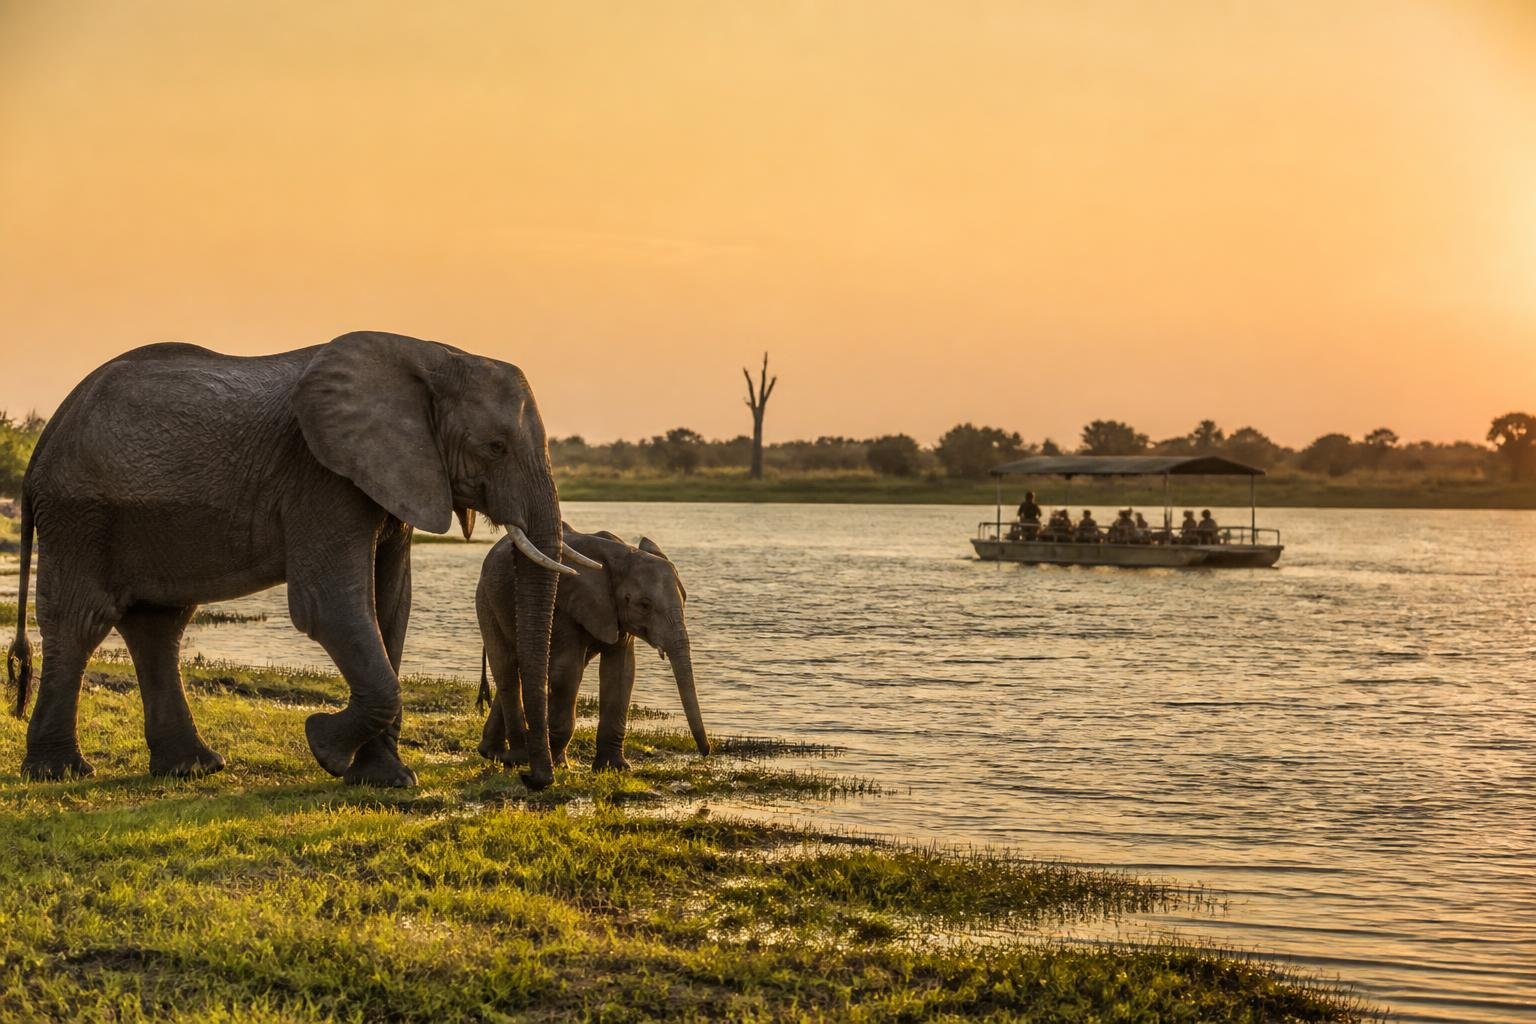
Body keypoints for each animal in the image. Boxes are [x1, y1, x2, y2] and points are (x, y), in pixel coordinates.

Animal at [5, 331, 597, 789]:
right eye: (495, 447)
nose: (533, 778)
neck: (431, 355)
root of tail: (44, 440)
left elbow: (391, 607)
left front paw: (386, 781)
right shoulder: (321, 476)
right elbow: (328, 606)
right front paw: (324, 746)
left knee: (158, 626)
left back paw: (193, 768)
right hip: (80, 515)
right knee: (82, 620)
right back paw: (60, 773)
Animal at [476, 524, 709, 772]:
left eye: (685, 598)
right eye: (644, 605)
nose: (706, 752)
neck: (621, 557)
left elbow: (621, 672)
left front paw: (614, 768)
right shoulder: (564, 605)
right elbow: (567, 671)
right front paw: (555, 762)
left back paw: (495, 754)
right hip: (486, 598)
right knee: (507, 666)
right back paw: (513, 758)